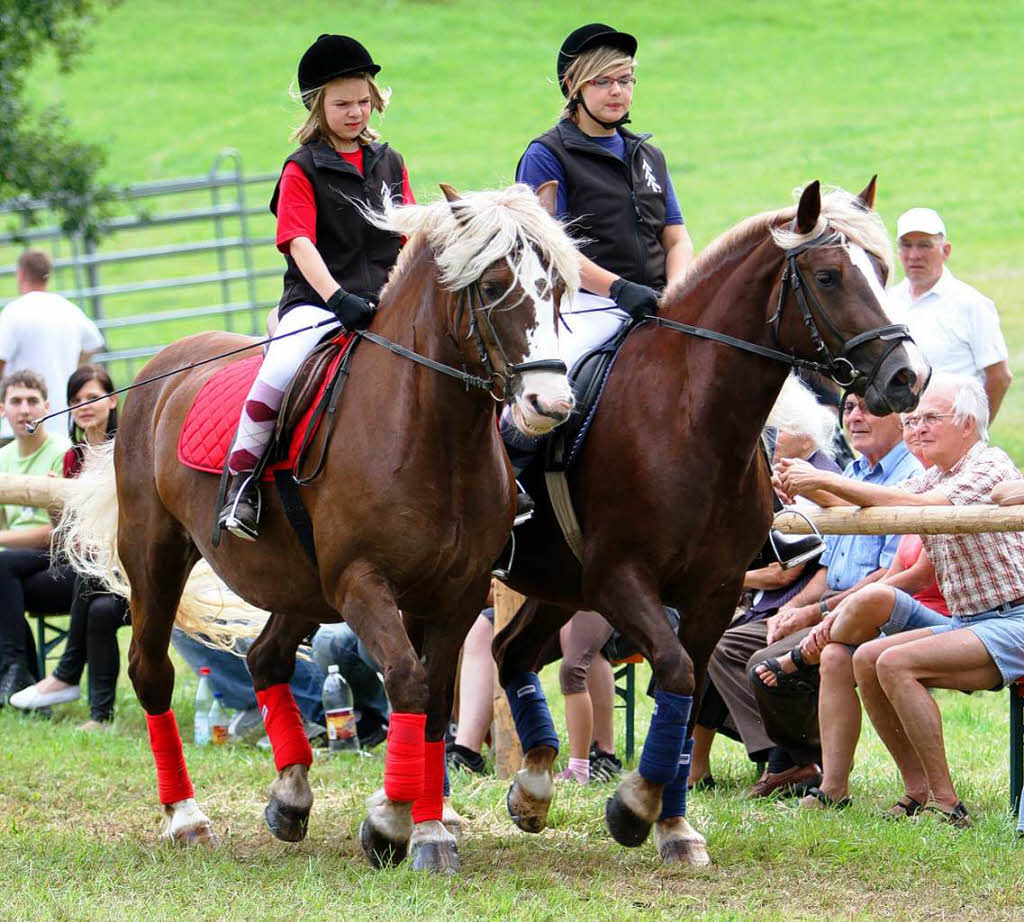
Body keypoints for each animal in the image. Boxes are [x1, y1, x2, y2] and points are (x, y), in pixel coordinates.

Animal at [59, 180, 581, 872]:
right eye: (495, 285)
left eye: (559, 287)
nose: (551, 404)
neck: (430, 434)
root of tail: (159, 369)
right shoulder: (362, 583)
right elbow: (409, 683)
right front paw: (393, 824)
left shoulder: (457, 593)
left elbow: (436, 698)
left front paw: (428, 825)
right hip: (156, 560)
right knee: (152, 672)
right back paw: (187, 817)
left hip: (297, 585)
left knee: (265, 659)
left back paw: (291, 795)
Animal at [491, 178, 933, 864]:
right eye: (829, 276)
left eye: (883, 272)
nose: (908, 376)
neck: (688, 419)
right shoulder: (621, 581)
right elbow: (674, 671)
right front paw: (633, 807)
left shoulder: (715, 592)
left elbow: (692, 689)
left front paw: (673, 826)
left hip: (555, 588)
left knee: (508, 654)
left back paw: (531, 789)